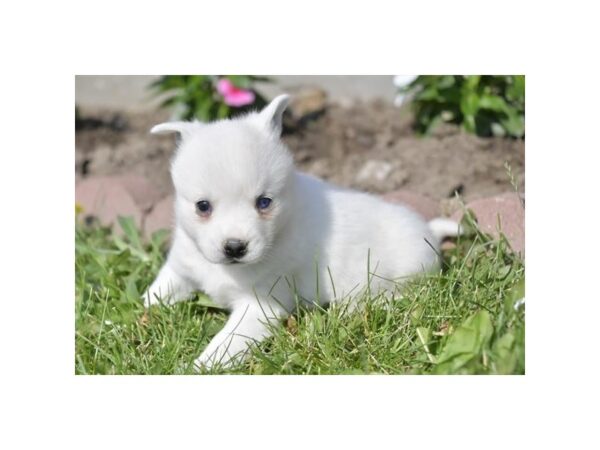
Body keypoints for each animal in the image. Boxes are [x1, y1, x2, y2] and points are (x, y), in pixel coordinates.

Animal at [142, 94, 460, 370]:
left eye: (264, 202)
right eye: (203, 206)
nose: (234, 247)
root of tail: (429, 231)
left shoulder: (260, 306)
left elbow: (226, 343)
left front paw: (199, 367)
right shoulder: (180, 269)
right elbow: (154, 294)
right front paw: (135, 317)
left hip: (408, 271)